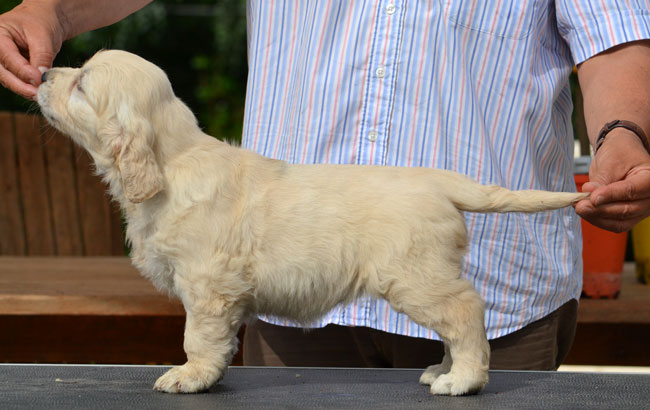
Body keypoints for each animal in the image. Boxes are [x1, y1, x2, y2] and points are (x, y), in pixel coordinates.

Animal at [36, 49, 588, 396]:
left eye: (81, 82)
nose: (41, 73)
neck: (173, 162)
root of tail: (438, 180)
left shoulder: (209, 286)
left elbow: (199, 337)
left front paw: (191, 376)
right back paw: (443, 369)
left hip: (414, 276)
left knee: (466, 310)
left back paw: (464, 379)